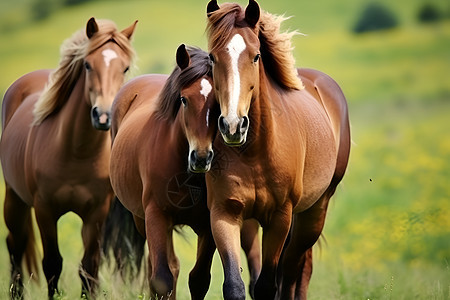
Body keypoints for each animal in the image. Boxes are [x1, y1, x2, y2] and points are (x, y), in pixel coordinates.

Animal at [0, 17, 137, 298]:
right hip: (14, 197)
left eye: (125, 67)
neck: (76, 153)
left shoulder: (97, 213)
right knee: (15, 244)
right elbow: (52, 264)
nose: (103, 116)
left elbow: (89, 267)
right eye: (87, 64)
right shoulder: (45, 210)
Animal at [206, 1, 350, 298]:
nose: (233, 125)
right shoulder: (225, 214)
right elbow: (235, 284)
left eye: (256, 56)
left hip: (314, 211)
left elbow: (268, 285)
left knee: (296, 270)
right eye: (213, 57)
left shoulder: (279, 218)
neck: (255, 153)